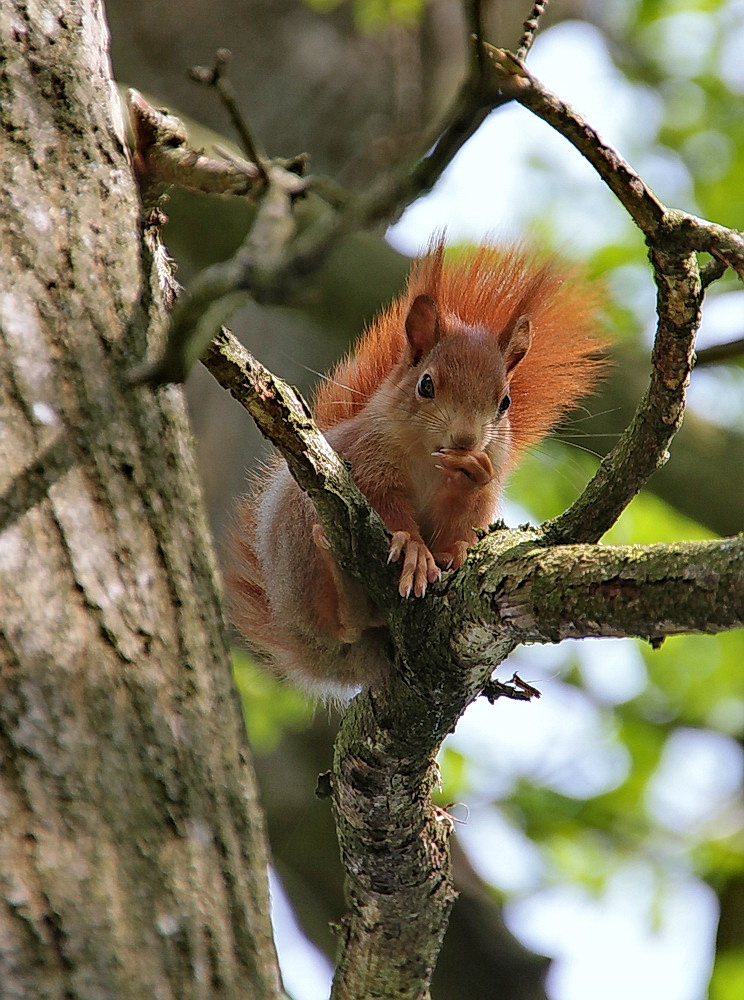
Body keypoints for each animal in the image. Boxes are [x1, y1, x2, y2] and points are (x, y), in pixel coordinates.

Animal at [228, 242, 604, 696]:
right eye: (426, 384)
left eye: (505, 402)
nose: (465, 440)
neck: (429, 462)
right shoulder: (365, 463)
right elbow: (386, 506)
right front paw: (413, 548)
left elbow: (461, 518)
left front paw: (459, 524)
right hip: (299, 541)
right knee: (345, 624)